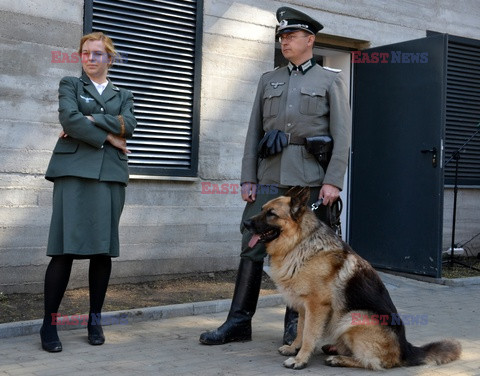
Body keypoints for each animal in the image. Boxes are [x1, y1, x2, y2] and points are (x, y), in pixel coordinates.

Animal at [244, 187, 462, 368]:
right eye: (262, 209)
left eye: (271, 214)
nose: (245, 223)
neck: (298, 243)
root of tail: (405, 349)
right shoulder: (305, 306)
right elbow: (300, 329)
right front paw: (293, 348)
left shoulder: (316, 306)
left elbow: (309, 334)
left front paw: (300, 359)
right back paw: (333, 349)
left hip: (351, 319)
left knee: (373, 363)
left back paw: (338, 359)